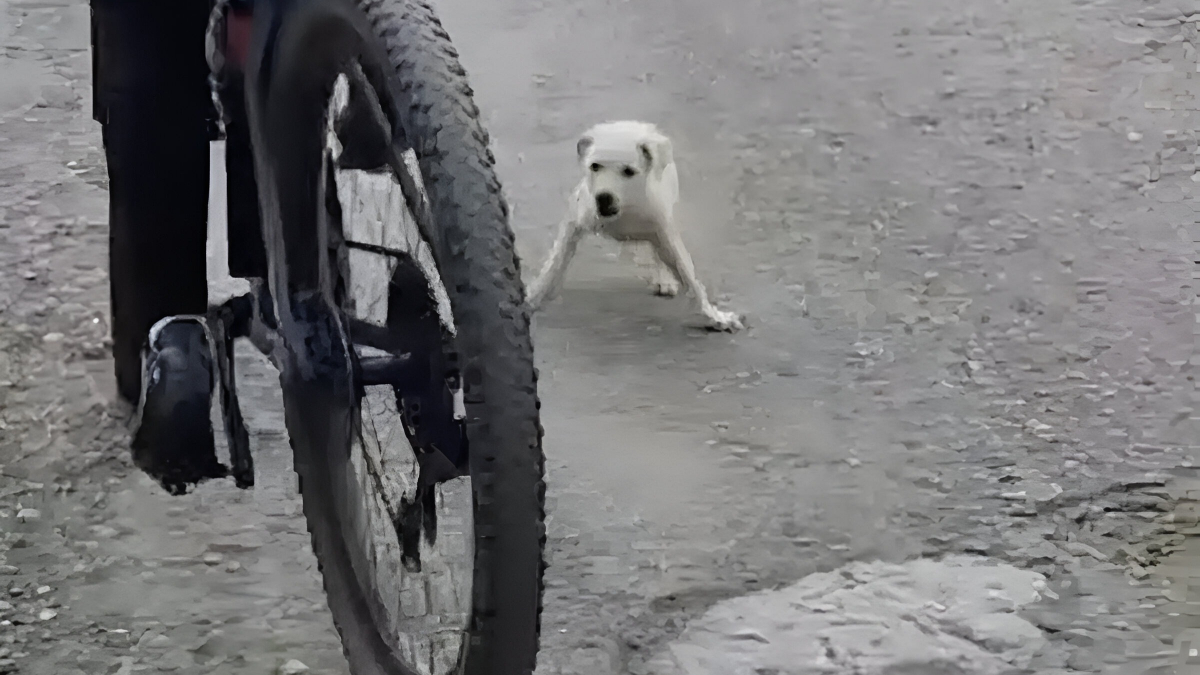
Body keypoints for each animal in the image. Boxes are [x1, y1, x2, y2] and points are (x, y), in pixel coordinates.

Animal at [525, 121, 739, 331]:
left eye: (628, 171)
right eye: (595, 166)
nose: (603, 198)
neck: (625, 209)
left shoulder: (663, 230)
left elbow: (688, 275)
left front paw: (714, 315)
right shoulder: (574, 222)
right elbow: (554, 265)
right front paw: (533, 297)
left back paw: (663, 278)